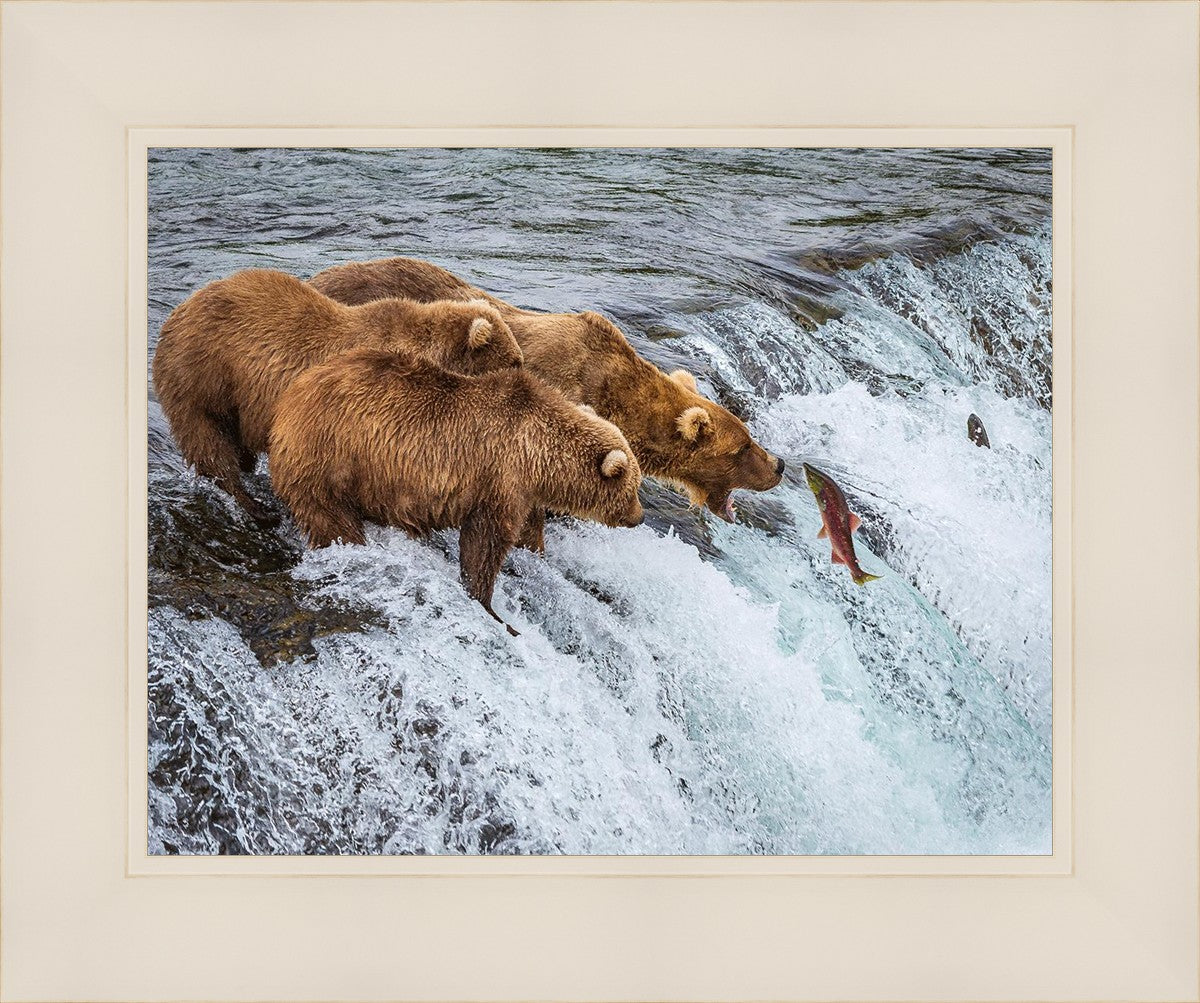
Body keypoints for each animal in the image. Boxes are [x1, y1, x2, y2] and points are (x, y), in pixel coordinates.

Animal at [152, 268, 523, 524]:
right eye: (515, 361)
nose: (525, 376)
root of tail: (177, 312)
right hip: (203, 377)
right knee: (209, 443)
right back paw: (255, 507)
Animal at [268, 346, 644, 635]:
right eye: (633, 488)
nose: (639, 517)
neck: (538, 455)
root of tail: (289, 399)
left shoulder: (523, 492)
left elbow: (526, 532)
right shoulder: (499, 478)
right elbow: (485, 543)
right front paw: (491, 607)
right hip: (330, 457)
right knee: (331, 518)